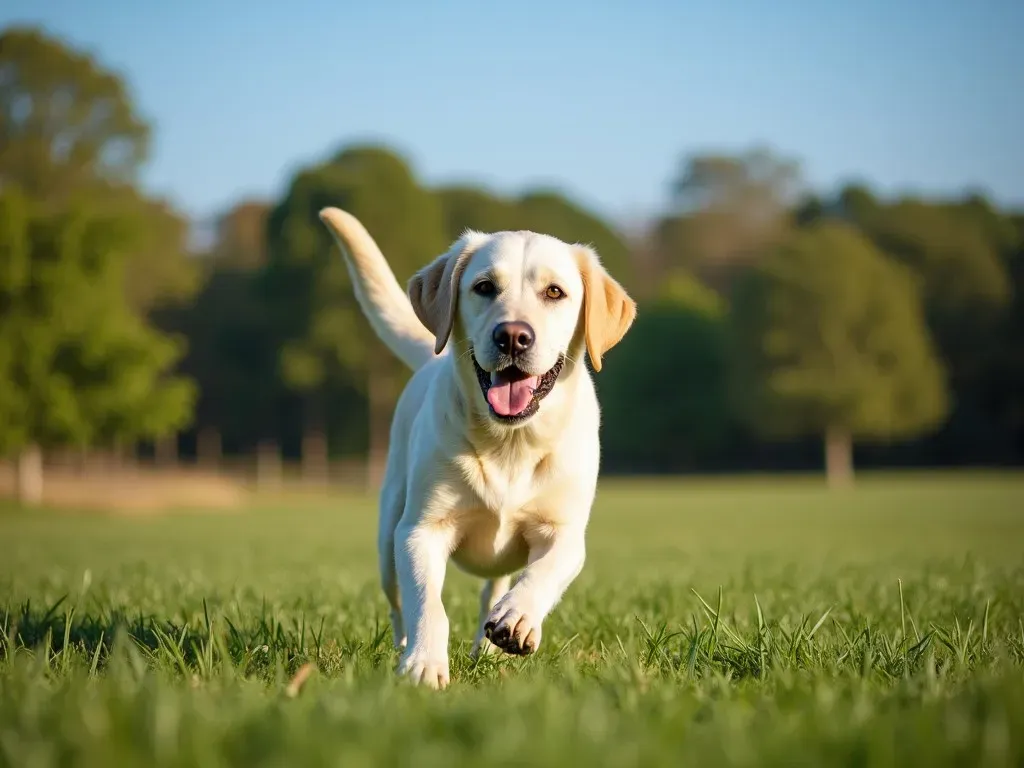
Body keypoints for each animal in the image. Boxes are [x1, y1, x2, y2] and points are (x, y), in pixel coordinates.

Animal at [315, 208, 634, 692]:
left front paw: (518, 617)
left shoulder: (565, 532)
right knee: (398, 604)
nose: (513, 336)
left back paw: (493, 643)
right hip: (388, 536)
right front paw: (424, 664)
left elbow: (543, 570)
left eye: (554, 292)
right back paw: (403, 648)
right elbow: (428, 604)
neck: (510, 443)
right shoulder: (420, 530)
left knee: (494, 589)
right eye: (484, 287)